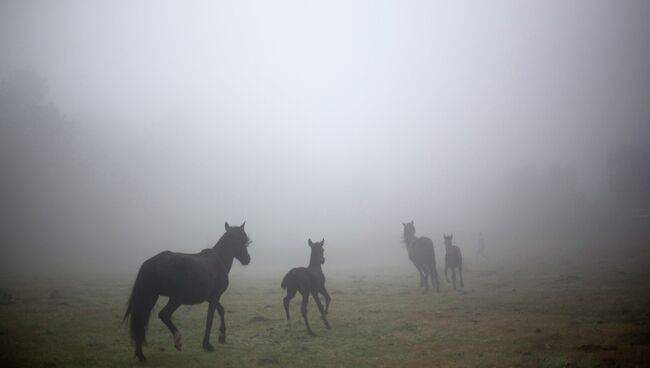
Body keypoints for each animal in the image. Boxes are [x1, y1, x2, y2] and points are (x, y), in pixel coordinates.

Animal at [121, 221, 251, 362]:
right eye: (239, 241)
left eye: (244, 241)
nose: (247, 259)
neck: (219, 260)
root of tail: (152, 262)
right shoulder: (215, 296)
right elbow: (210, 319)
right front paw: (207, 345)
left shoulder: (211, 298)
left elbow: (221, 310)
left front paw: (222, 336)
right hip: (176, 299)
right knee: (163, 315)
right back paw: (177, 341)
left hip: (150, 297)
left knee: (140, 322)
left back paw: (141, 355)